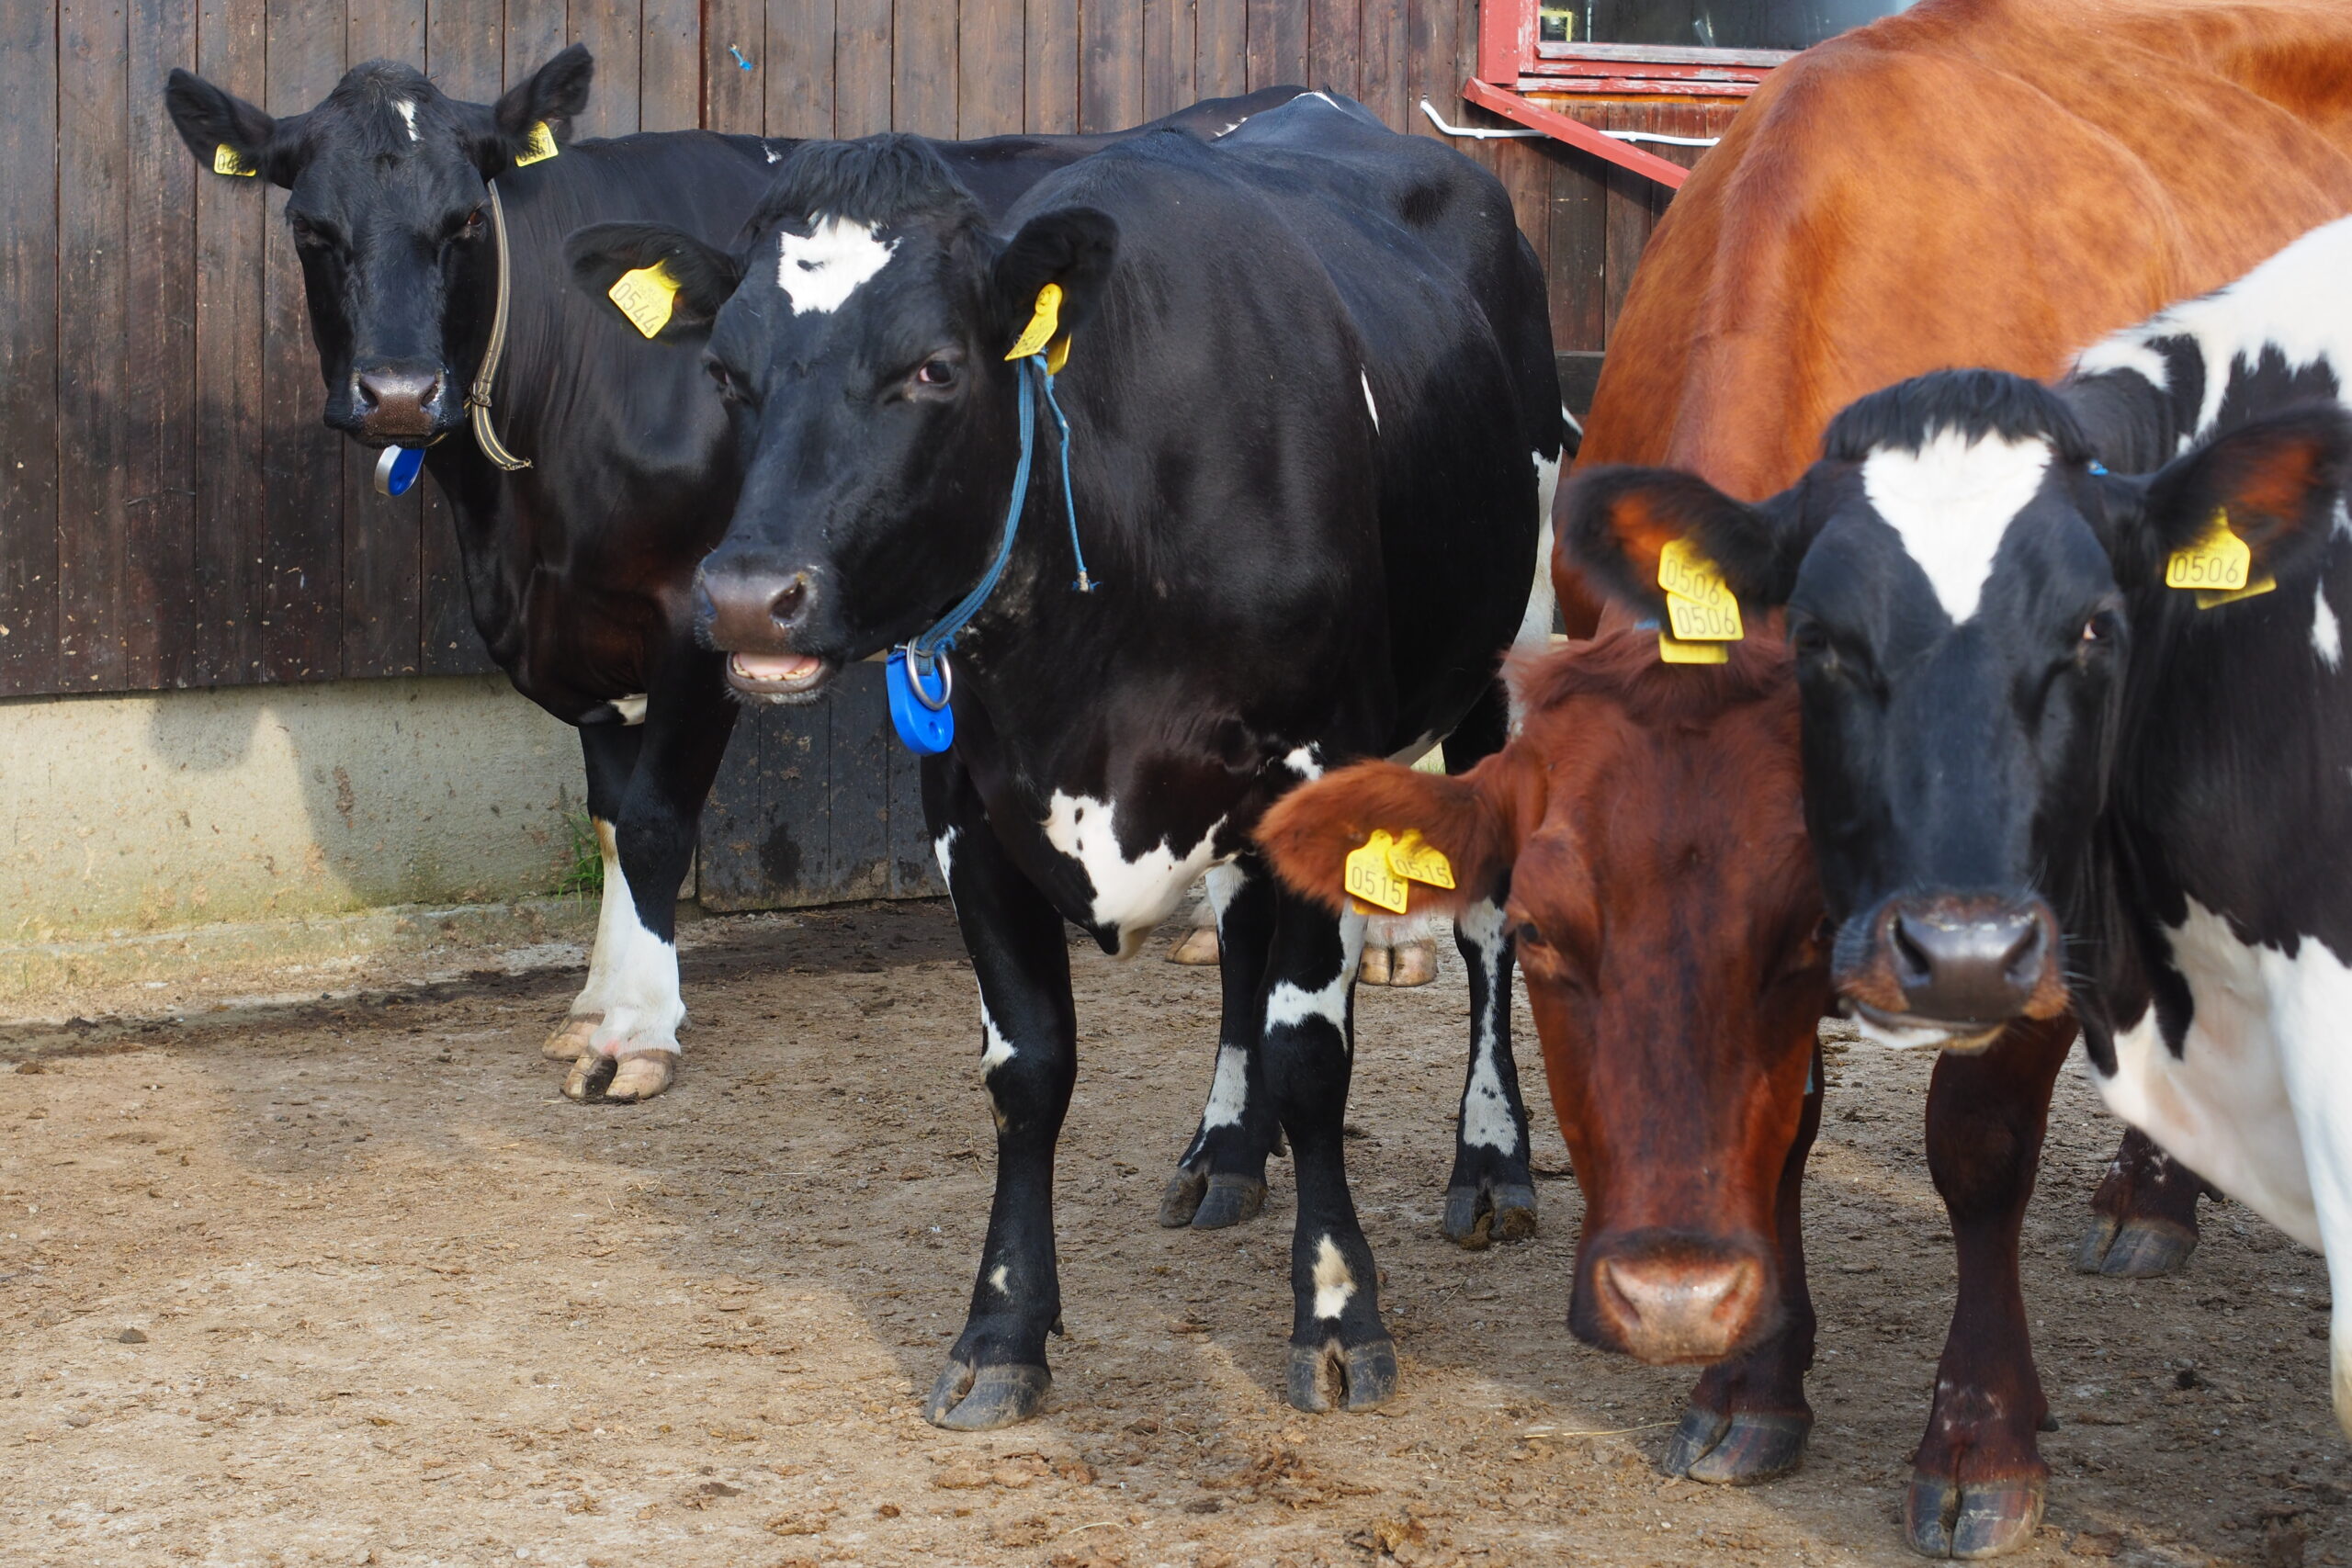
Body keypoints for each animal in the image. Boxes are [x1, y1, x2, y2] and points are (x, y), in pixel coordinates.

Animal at [162, 47, 1306, 1105]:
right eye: (312, 230)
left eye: (462, 224)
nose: (399, 391)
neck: (514, 523)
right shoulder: (586, 623)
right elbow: (611, 821)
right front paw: (594, 1005)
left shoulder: (690, 609)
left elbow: (656, 824)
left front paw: (635, 1031)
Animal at [564, 95, 1562, 1427]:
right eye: (726, 373)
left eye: (936, 367)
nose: (744, 597)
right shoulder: (966, 804)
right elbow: (1028, 1067)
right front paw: (1001, 1330)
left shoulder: (1314, 759)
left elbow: (1314, 1051)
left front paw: (1339, 1314)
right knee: (1241, 935)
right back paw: (1224, 1150)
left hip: (1503, 665)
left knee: (1487, 926)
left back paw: (1492, 1163)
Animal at [1565, 226, 2352, 1551]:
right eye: (1818, 638)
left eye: (2095, 628)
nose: (1963, 950)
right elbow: (1788, 1124)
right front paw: (1750, 1389)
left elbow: (1979, 1149)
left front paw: (1977, 1444)